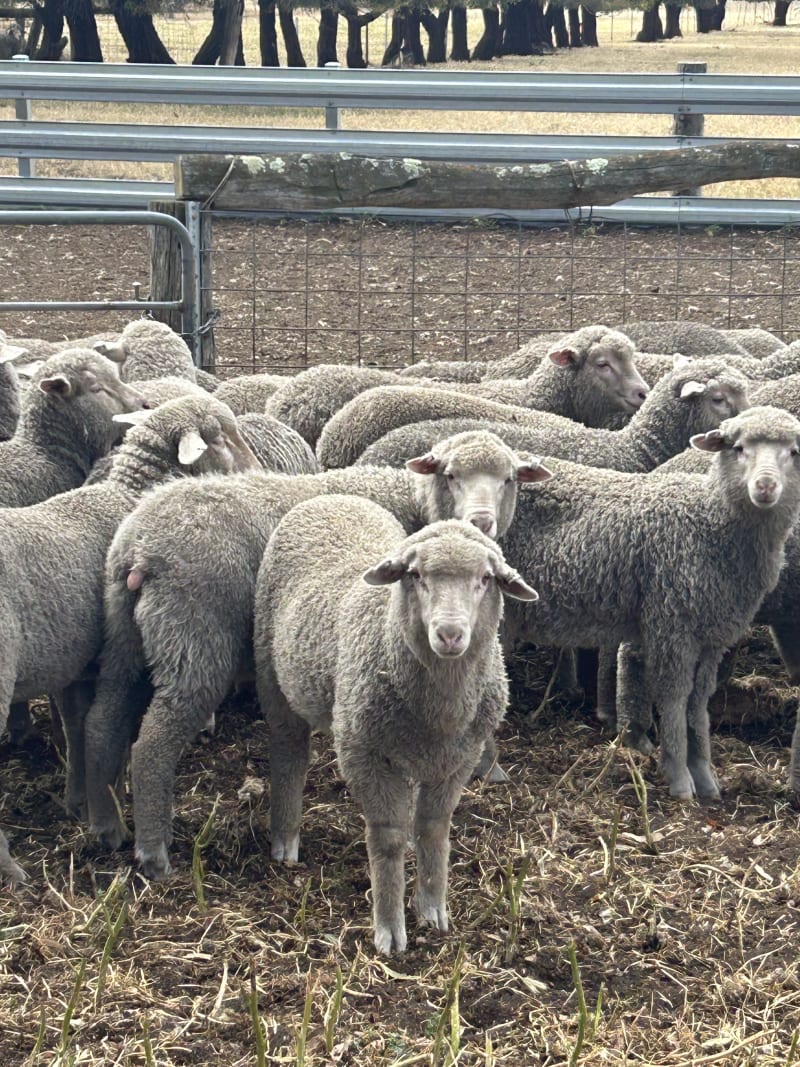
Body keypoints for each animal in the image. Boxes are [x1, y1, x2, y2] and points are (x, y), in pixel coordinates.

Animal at [0, 393, 261, 871]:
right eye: (220, 438)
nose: (256, 472)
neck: (130, 493)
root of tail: (140, 554)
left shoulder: (84, 665)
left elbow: (80, 730)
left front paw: (82, 803)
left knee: (101, 725)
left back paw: (109, 830)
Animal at [83, 430, 549, 871]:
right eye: (450, 475)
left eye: (509, 479)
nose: (481, 521)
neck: (414, 503)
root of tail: (138, 545)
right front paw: (490, 765)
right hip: (195, 638)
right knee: (153, 743)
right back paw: (154, 852)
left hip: (124, 635)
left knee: (103, 718)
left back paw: (107, 826)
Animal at [252, 495, 538, 955]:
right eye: (416, 575)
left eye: (485, 579)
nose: (450, 634)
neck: (440, 712)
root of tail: (331, 497)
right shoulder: (366, 753)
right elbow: (387, 838)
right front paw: (389, 927)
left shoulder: (459, 759)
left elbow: (433, 828)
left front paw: (433, 908)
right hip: (272, 675)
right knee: (289, 753)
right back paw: (286, 839)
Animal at [497, 406, 800, 798]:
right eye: (738, 448)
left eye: (793, 452)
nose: (765, 487)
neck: (709, 522)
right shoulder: (672, 623)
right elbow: (674, 698)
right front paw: (679, 777)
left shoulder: (712, 634)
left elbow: (698, 701)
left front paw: (705, 776)